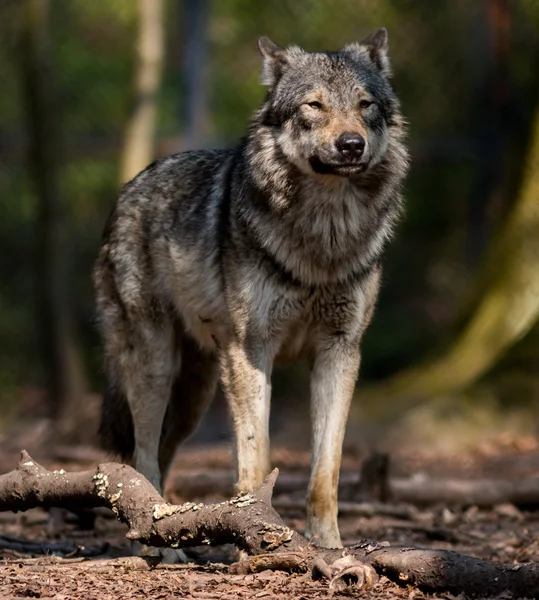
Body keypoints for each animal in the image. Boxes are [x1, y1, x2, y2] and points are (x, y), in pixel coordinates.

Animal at [94, 30, 410, 552]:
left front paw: (328, 547)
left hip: (195, 395)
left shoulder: (340, 352)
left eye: (365, 104)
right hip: (156, 370)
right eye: (314, 105)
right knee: (140, 456)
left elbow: (326, 472)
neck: (322, 238)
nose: (351, 144)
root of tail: (128, 189)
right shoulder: (250, 350)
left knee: (161, 454)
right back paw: (149, 544)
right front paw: (254, 532)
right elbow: (255, 456)